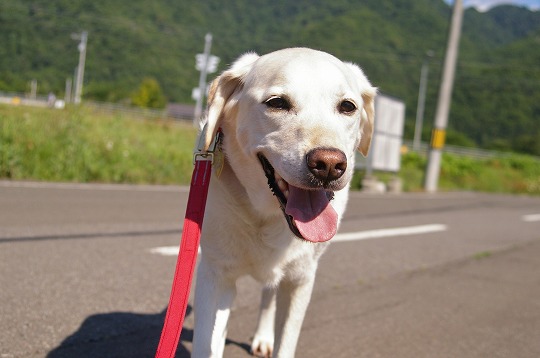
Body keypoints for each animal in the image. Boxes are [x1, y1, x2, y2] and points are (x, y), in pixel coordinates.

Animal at [194, 47, 376, 358]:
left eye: (347, 106)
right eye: (277, 103)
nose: (329, 165)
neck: (266, 216)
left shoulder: (301, 279)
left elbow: (286, 340)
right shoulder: (215, 274)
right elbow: (207, 342)